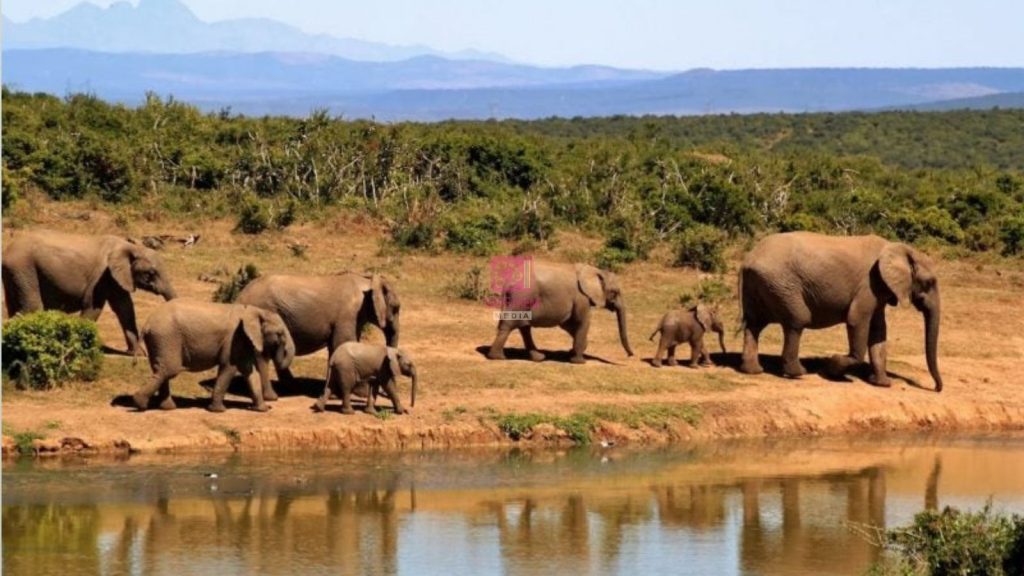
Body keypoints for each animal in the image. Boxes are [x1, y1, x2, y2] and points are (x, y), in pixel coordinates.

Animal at [2, 230, 177, 354]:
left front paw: (138, 355)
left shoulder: (115, 277)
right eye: (151, 274)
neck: (131, 247)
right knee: (32, 307)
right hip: (24, 268)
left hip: (16, 273)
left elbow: (125, 308)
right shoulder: (101, 276)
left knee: (15, 307)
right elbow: (93, 307)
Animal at [132, 300, 296, 412]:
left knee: (162, 370)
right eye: (280, 334)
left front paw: (262, 409)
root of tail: (146, 324)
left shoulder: (241, 341)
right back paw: (140, 404)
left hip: (160, 340)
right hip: (166, 337)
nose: (272, 406)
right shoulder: (234, 338)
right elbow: (229, 368)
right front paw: (218, 411)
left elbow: (250, 372)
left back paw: (167, 408)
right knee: (169, 370)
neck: (254, 311)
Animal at [235, 272, 400, 398]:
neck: (367, 280)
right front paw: (360, 393)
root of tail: (240, 296)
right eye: (396, 308)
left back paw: (294, 388)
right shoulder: (347, 315)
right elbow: (342, 343)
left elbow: (336, 348)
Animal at [486, 262, 633, 364]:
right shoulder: (581, 297)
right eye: (615, 292)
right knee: (510, 325)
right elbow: (582, 321)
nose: (630, 355)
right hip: (522, 297)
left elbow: (568, 324)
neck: (595, 270)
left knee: (524, 327)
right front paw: (579, 361)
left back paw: (539, 358)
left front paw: (572, 352)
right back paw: (498, 357)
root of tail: (508, 282)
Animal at [738, 232, 943, 391]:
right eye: (929, 282)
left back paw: (753, 371)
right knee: (797, 320)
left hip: (761, 284)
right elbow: (856, 321)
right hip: (782, 284)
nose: (936, 388)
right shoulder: (869, 285)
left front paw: (882, 384)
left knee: (754, 324)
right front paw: (832, 368)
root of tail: (748, 259)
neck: (899, 248)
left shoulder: (879, 289)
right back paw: (798, 373)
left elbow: (879, 331)